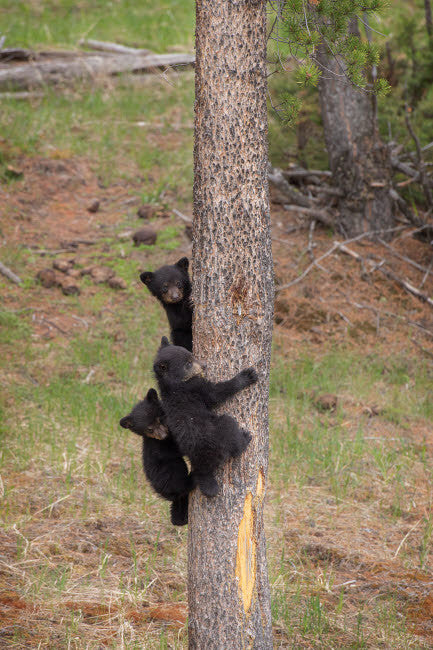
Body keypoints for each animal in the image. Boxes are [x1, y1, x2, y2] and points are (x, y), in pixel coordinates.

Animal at [119, 388, 194, 526]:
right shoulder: (160, 445)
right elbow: (177, 449)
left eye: (160, 419)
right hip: (171, 473)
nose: (163, 434)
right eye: (149, 429)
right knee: (181, 483)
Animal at [153, 337, 258, 498]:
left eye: (191, 354)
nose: (204, 365)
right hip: (221, 433)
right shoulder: (194, 387)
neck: (171, 386)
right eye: (188, 364)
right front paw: (246, 376)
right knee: (231, 432)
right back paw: (245, 438)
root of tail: (203, 466)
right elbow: (215, 393)